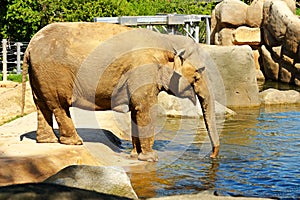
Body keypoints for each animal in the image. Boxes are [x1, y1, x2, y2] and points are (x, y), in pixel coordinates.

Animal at [20, 22, 218, 162]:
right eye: (197, 76)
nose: (212, 156)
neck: (167, 43)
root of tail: (29, 47)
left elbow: (136, 110)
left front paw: (134, 155)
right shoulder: (143, 70)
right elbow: (145, 109)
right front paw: (151, 159)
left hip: (39, 74)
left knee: (42, 104)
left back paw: (48, 141)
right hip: (53, 73)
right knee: (59, 105)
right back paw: (75, 142)